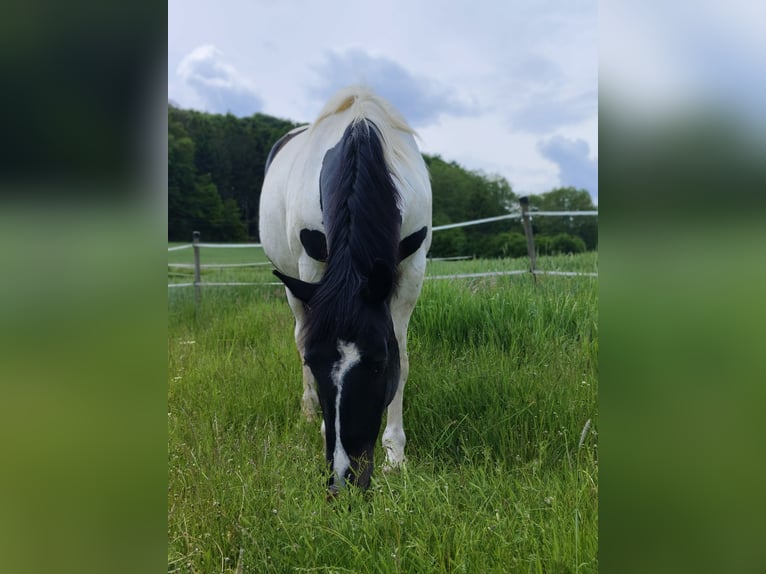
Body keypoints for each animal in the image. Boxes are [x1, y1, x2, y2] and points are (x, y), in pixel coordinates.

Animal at [259, 86, 432, 493]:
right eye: (314, 361)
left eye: (379, 364)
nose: (344, 476)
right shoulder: (311, 266)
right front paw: (322, 424)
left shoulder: (412, 268)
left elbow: (403, 356)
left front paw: (395, 453)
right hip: (294, 284)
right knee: (297, 332)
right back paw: (307, 410)